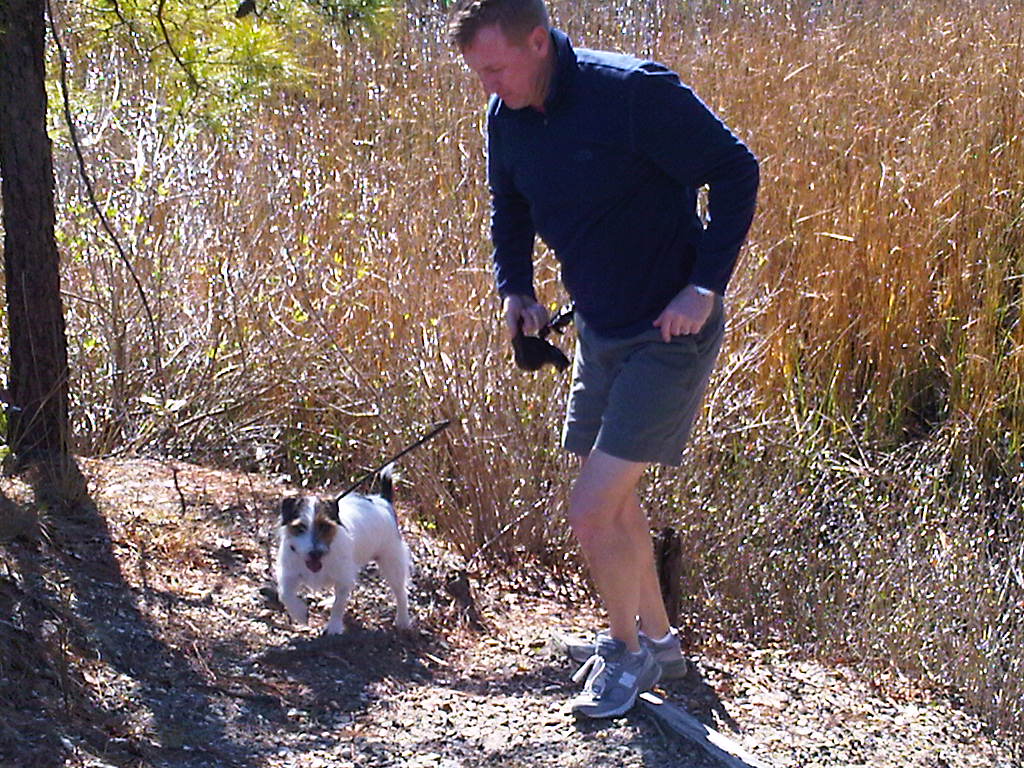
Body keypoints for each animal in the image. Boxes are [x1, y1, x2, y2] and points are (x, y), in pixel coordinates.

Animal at [275, 465, 411, 635]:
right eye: (300, 527)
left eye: (325, 526)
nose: (315, 553)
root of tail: (383, 501)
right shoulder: (289, 573)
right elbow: (285, 594)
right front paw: (300, 614)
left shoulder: (342, 577)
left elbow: (338, 604)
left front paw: (333, 627)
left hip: (392, 562)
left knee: (401, 592)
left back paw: (403, 620)